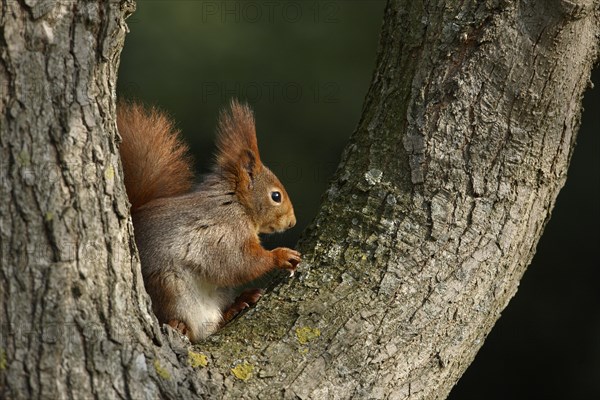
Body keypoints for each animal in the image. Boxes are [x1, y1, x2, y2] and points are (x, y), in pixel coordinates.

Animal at [117, 99, 302, 340]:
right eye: (276, 196)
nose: (292, 222)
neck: (236, 204)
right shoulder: (223, 234)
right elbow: (239, 263)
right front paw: (280, 256)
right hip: (168, 288)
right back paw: (180, 326)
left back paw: (237, 305)